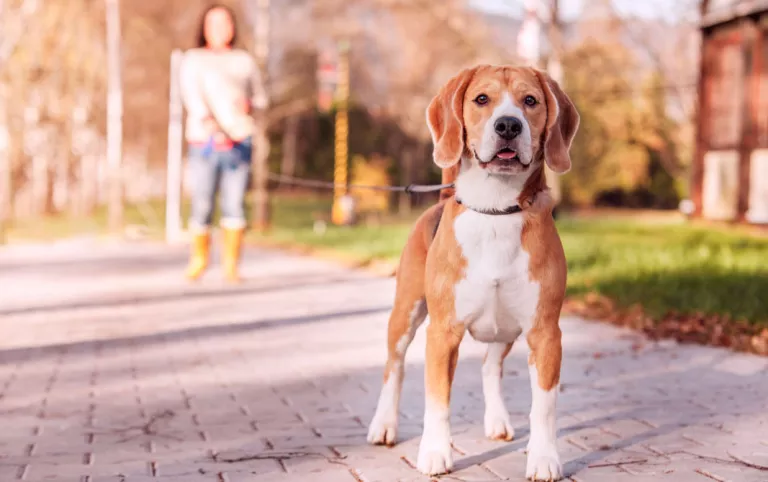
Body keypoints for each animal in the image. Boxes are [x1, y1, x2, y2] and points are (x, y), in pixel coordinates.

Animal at [368, 65, 580, 482]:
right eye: (482, 99)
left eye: (530, 100)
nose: (509, 125)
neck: (496, 210)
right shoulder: (442, 333)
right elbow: (437, 400)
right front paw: (435, 453)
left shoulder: (546, 333)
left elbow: (544, 406)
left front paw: (543, 457)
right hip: (406, 314)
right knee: (393, 368)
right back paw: (384, 424)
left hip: (505, 329)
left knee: (489, 367)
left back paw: (498, 421)